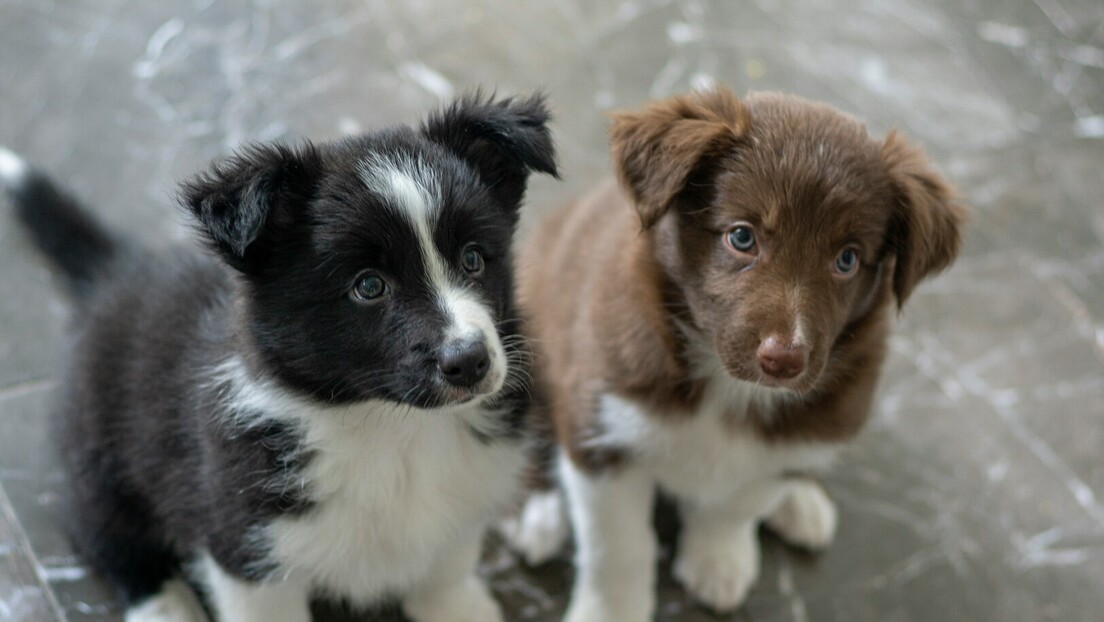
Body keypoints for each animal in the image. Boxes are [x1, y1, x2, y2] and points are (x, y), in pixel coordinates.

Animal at [0, 93, 552, 622]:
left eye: (474, 258)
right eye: (369, 286)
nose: (470, 361)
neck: (390, 427)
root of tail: (119, 272)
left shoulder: (470, 489)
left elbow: (449, 561)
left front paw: (458, 608)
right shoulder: (244, 539)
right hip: (100, 458)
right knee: (106, 537)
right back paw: (167, 607)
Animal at [507, 88, 967, 622]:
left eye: (847, 259)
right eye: (742, 236)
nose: (784, 360)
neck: (727, 386)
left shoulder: (785, 439)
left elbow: (739, 502)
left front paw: (719, 559)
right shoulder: (603, 428)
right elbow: (617, 547)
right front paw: (611, 611)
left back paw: (800, 498)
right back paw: (536, 513)